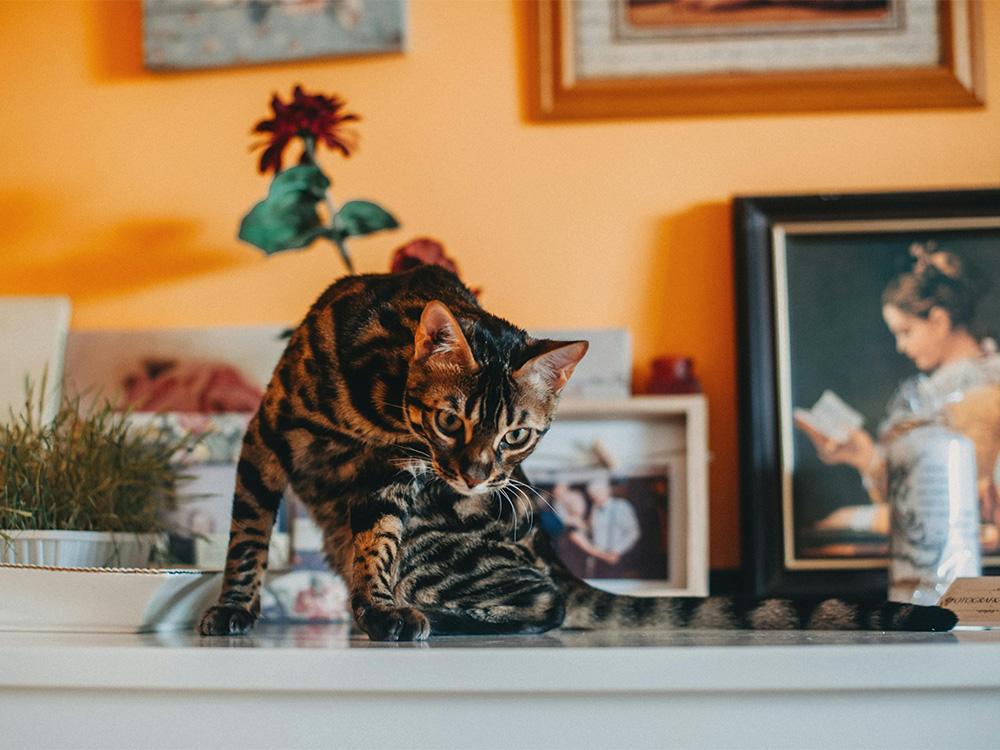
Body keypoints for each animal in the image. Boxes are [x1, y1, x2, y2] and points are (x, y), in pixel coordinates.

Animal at [199, 264, 956, 640]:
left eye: (516, 436)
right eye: (449, 420)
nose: (475, 475)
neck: (380, 408)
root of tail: (554, 554)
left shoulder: (397, 475)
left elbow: (378, 544)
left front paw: (380, 606)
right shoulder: (266, 438)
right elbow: (246, 538)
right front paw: (235, 607)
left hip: (447, 538)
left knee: (546, 605)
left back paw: (430, 619)